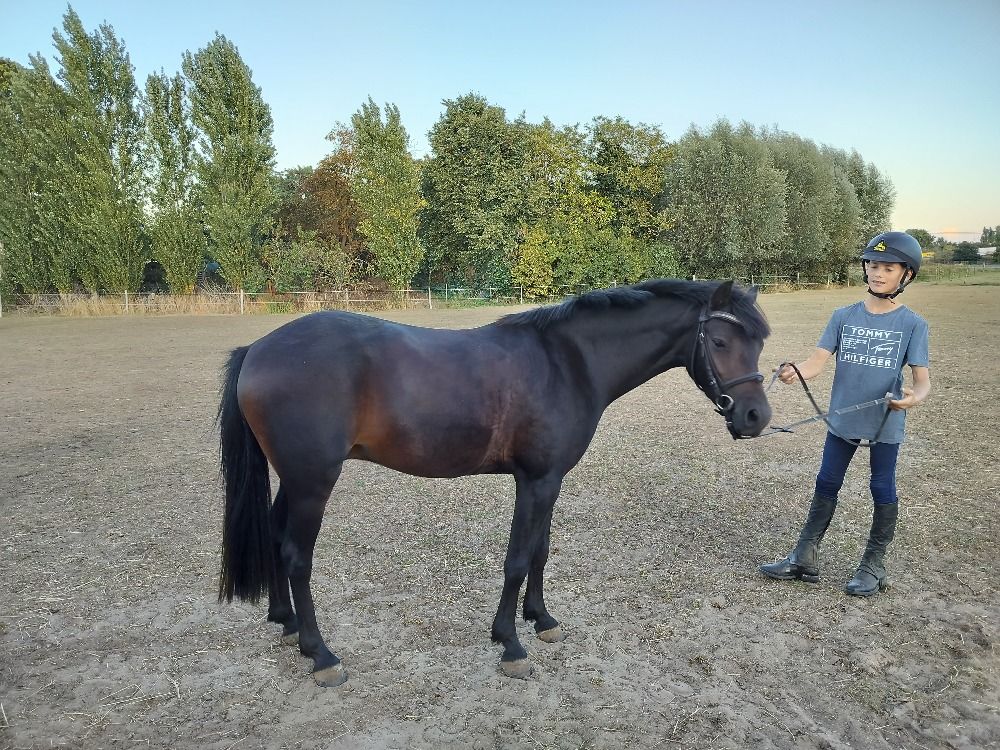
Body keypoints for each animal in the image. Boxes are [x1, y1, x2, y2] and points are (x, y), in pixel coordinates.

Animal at [217, 279, 772, 686]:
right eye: (720, 341)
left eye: (759, 342)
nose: (755, 416)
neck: (568, 362)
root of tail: (259, 348)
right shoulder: (536, 481)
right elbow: (518, 559)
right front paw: (510, 643)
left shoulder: (550, 481)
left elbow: (541, 552)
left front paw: (542, 620)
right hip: (314, 482)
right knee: (296, 557)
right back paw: (321, 654)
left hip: (295, 480)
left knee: (275, 538)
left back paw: (287, 624)